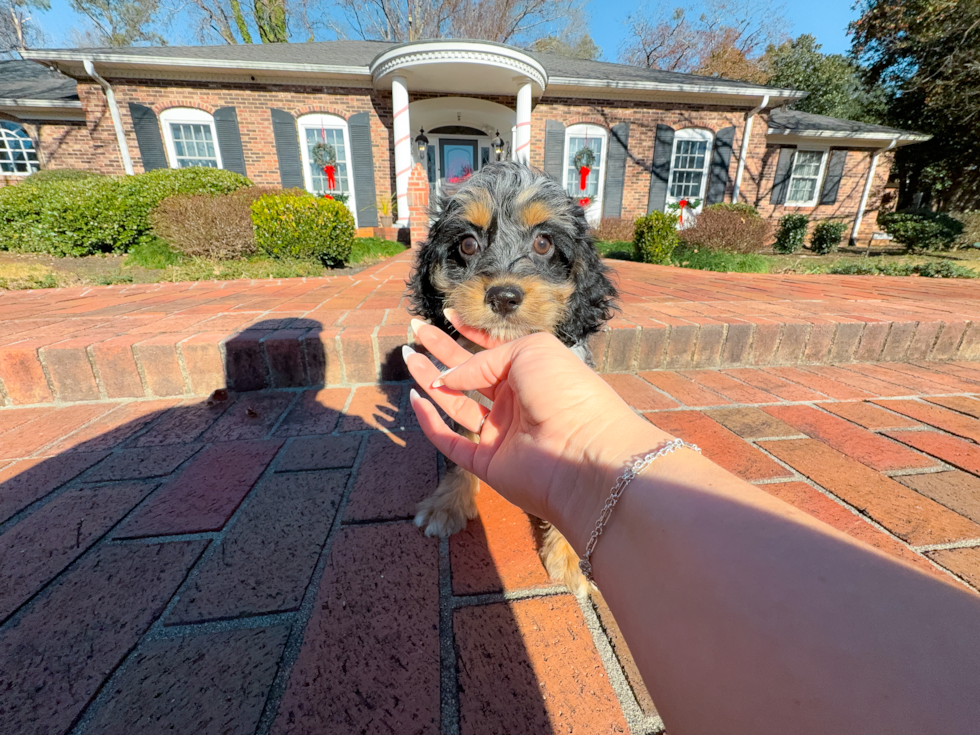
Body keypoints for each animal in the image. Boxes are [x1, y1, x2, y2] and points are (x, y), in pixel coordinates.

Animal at [410, 161, 616, 600]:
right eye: (468, 245)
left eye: (543, 244)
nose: (503, 297)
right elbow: (461, 448)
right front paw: (448, 504)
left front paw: (569, 556)